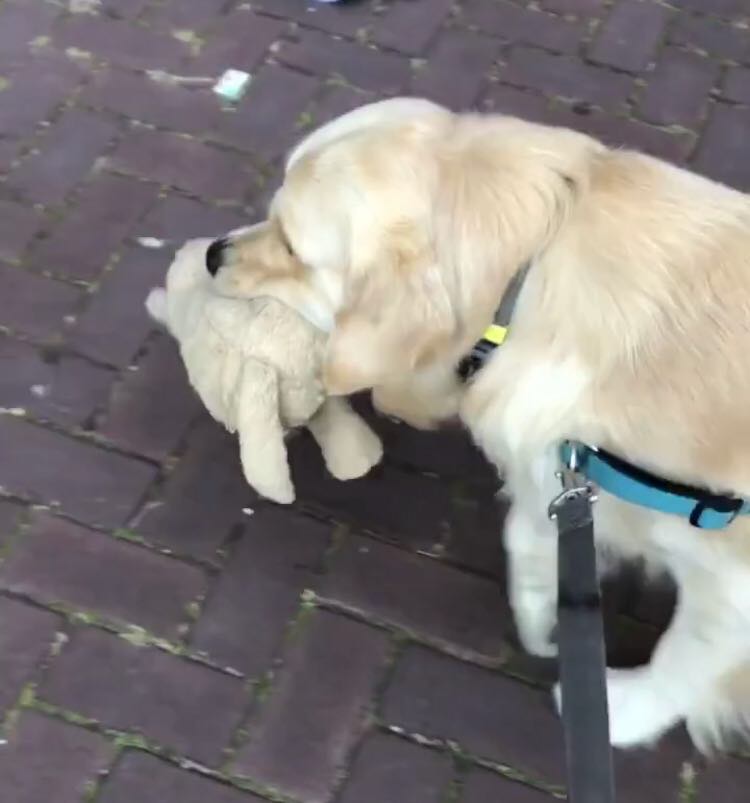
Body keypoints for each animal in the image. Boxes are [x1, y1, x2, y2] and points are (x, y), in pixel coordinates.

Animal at [209, 99, 750, 752]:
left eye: (291, 246)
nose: (212, 253)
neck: (529, 272)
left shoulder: (734, 585)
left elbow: (684, 656)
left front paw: (622, 711)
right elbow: (532, 532)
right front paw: (545, 607)